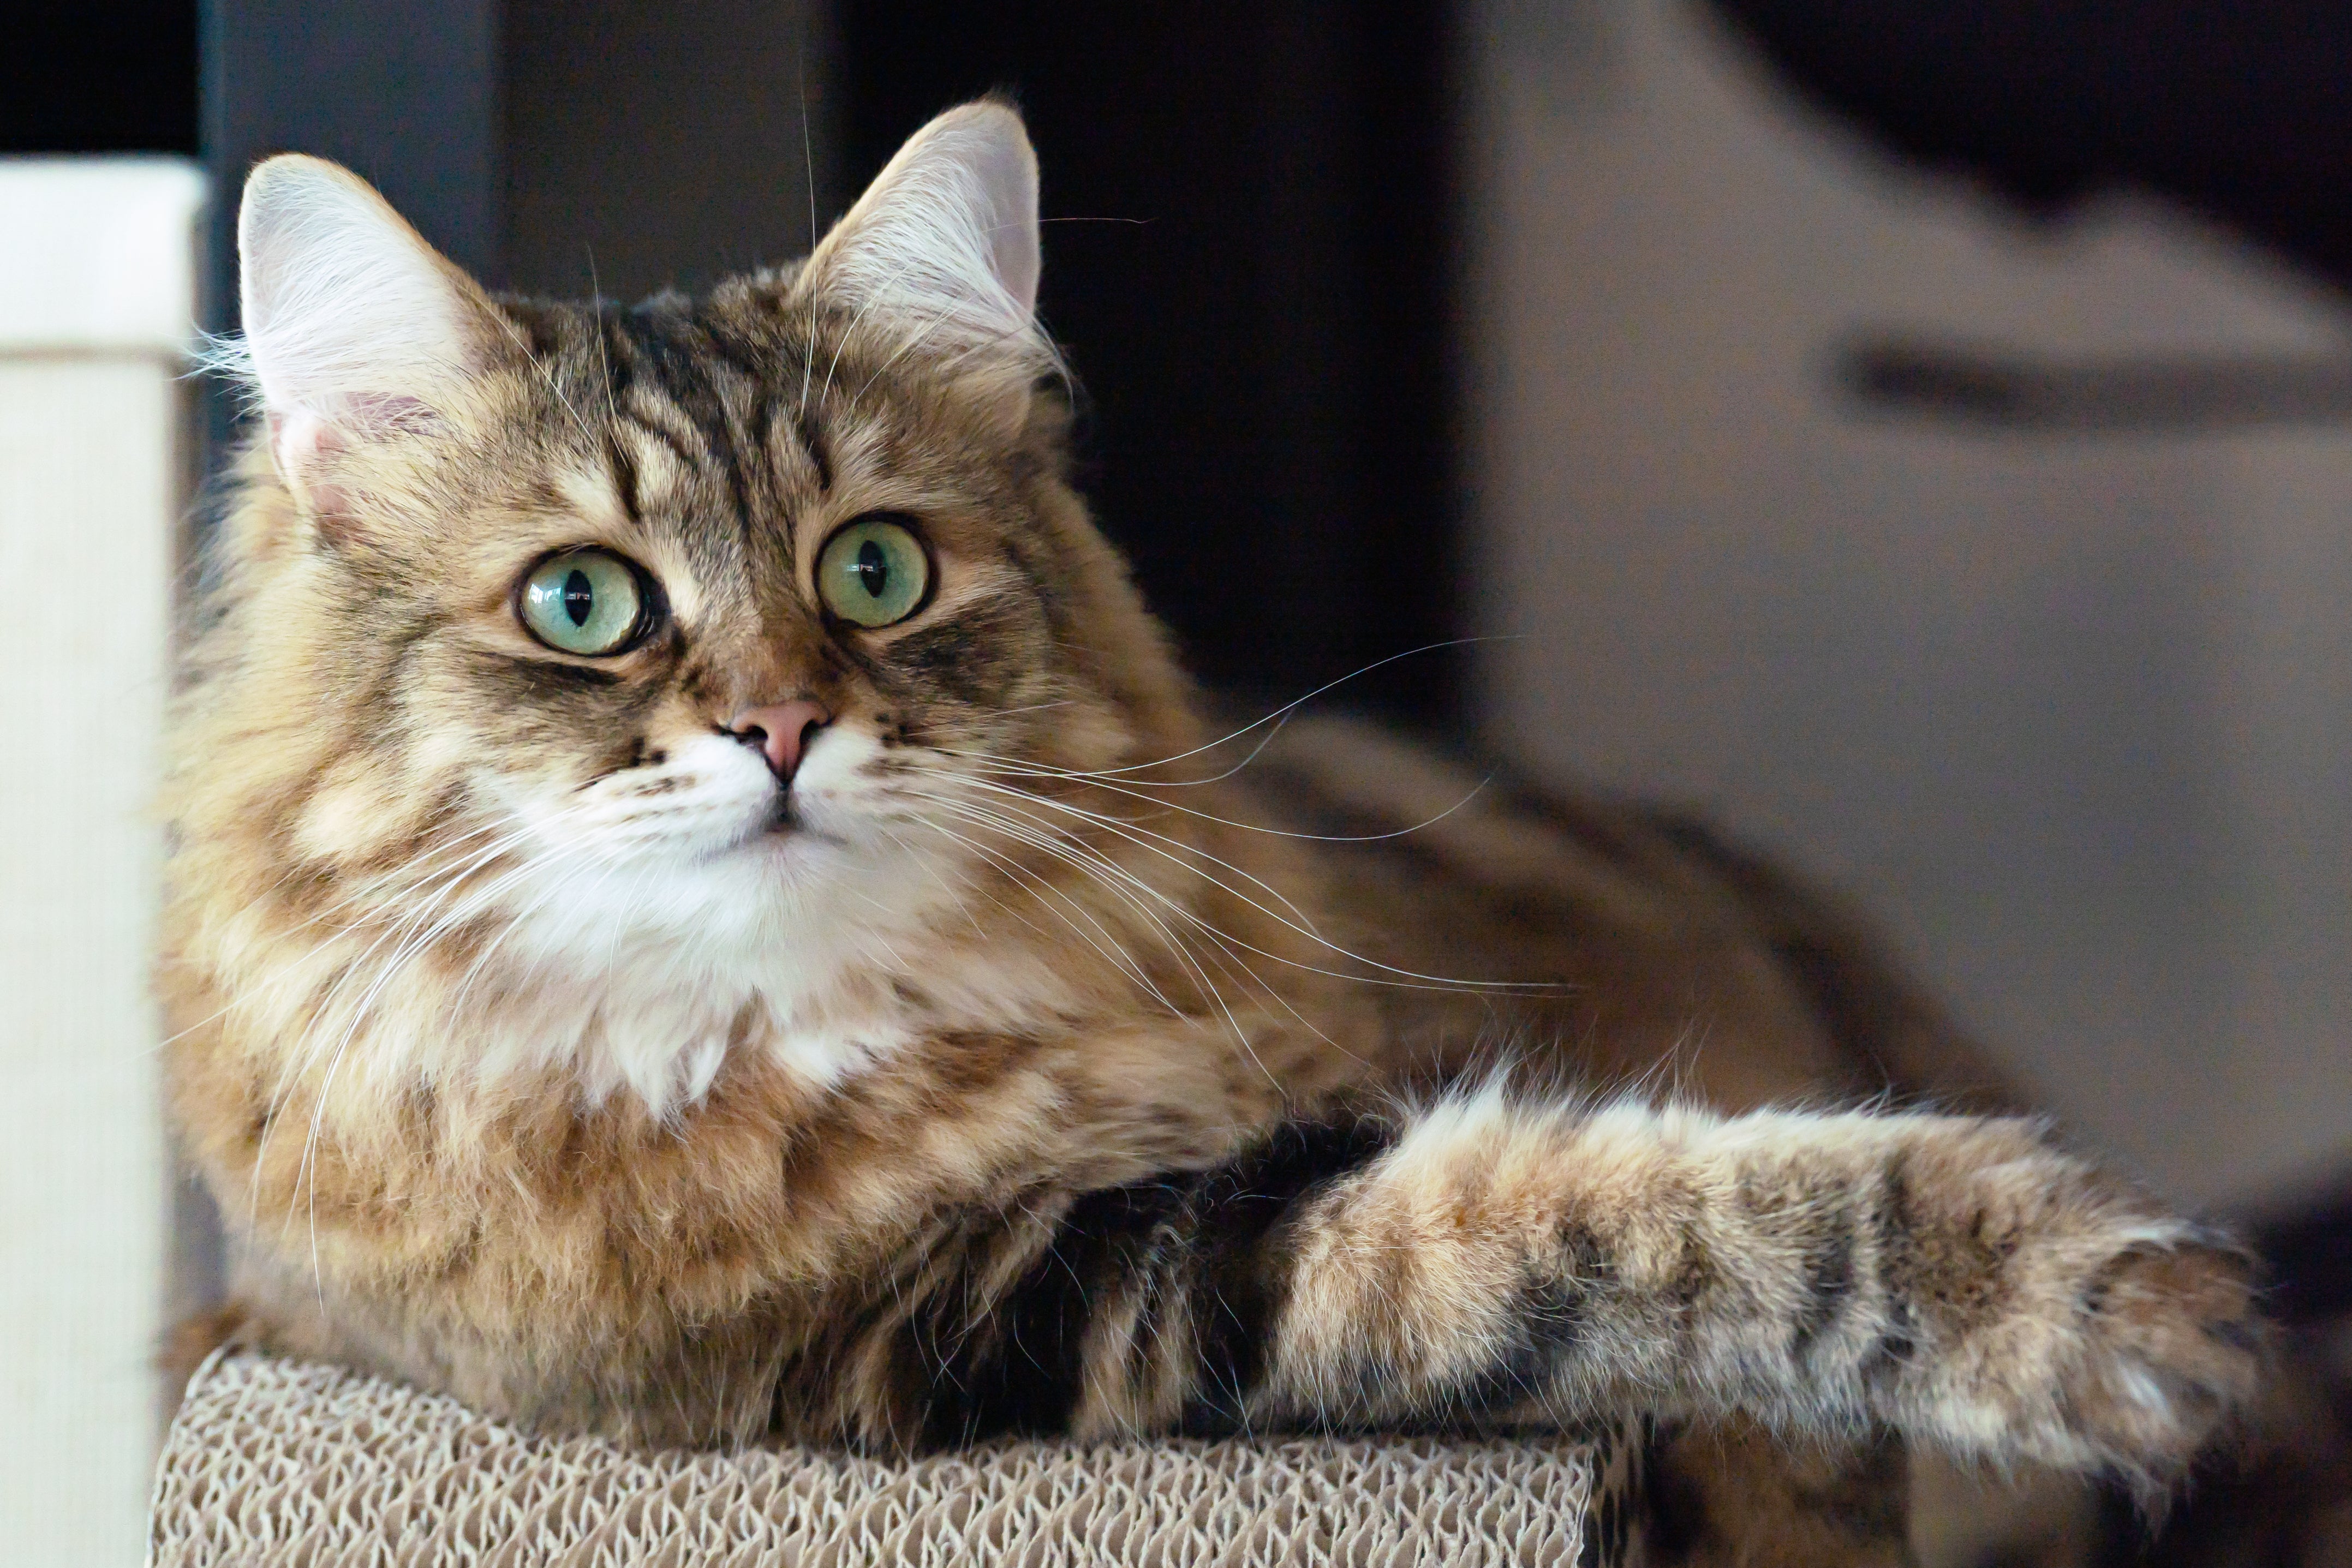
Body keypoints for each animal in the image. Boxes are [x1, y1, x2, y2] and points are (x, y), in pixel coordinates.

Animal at [161, 104, 2258, 1561]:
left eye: (874, 569)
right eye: (584, 604)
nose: (779, 728)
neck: (822, 1036)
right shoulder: (1032, 1299)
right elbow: (1603, 1225)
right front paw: (2110, 1303)